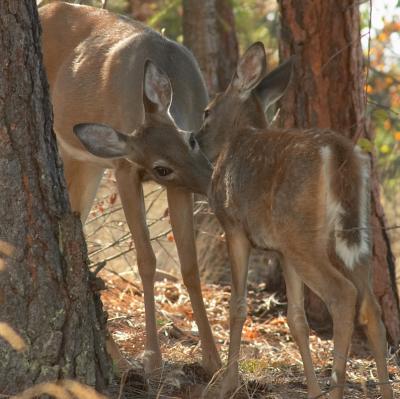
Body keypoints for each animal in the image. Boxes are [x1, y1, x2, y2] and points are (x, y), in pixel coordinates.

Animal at [39, 0, 220, 376]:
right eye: (160, 167)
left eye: (191, 139)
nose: (212, 183)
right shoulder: (125, 169)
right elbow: (146, 259)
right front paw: (152, 357)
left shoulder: (179, 186)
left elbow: (189, 264)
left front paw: (214, 358)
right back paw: (121, 360)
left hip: (86, 162)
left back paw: (117, 358)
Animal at [193, 42, 390, 398]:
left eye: (207, 111)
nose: (194, 140)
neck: (238, 138)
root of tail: (338, 150)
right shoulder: (280, 250)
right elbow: (297, 320)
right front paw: (311, 390)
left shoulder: (234, 225)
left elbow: (237, 305)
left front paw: (227, 384)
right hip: (352, 235)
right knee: (370, 306)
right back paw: (384, 390)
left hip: (302, 234)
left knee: (343, 295)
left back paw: (337, 389)